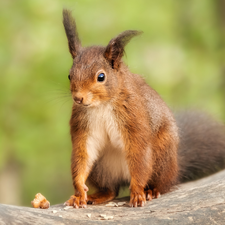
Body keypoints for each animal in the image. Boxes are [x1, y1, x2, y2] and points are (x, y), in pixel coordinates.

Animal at [61, 9, 225, 208]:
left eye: (101, 76)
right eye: (70, 75)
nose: (78, 98)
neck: (102, 105)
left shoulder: (134, 118)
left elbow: (138, 153)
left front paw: (138, 193)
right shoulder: (83, 126)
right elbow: (83, 153)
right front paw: (79, 192)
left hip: (161, 157)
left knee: (162, 183)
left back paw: (150, 190)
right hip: (101, 168)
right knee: (112, 189)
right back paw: (99, 195)